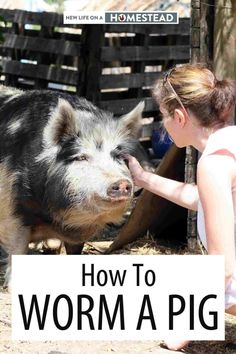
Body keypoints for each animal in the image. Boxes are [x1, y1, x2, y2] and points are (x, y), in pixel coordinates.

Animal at [0, 86, 144, 288]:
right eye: (81, 157)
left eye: (117, 156)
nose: (122, 183)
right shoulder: (12, 215)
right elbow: (17, 249)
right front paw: (12, 286)